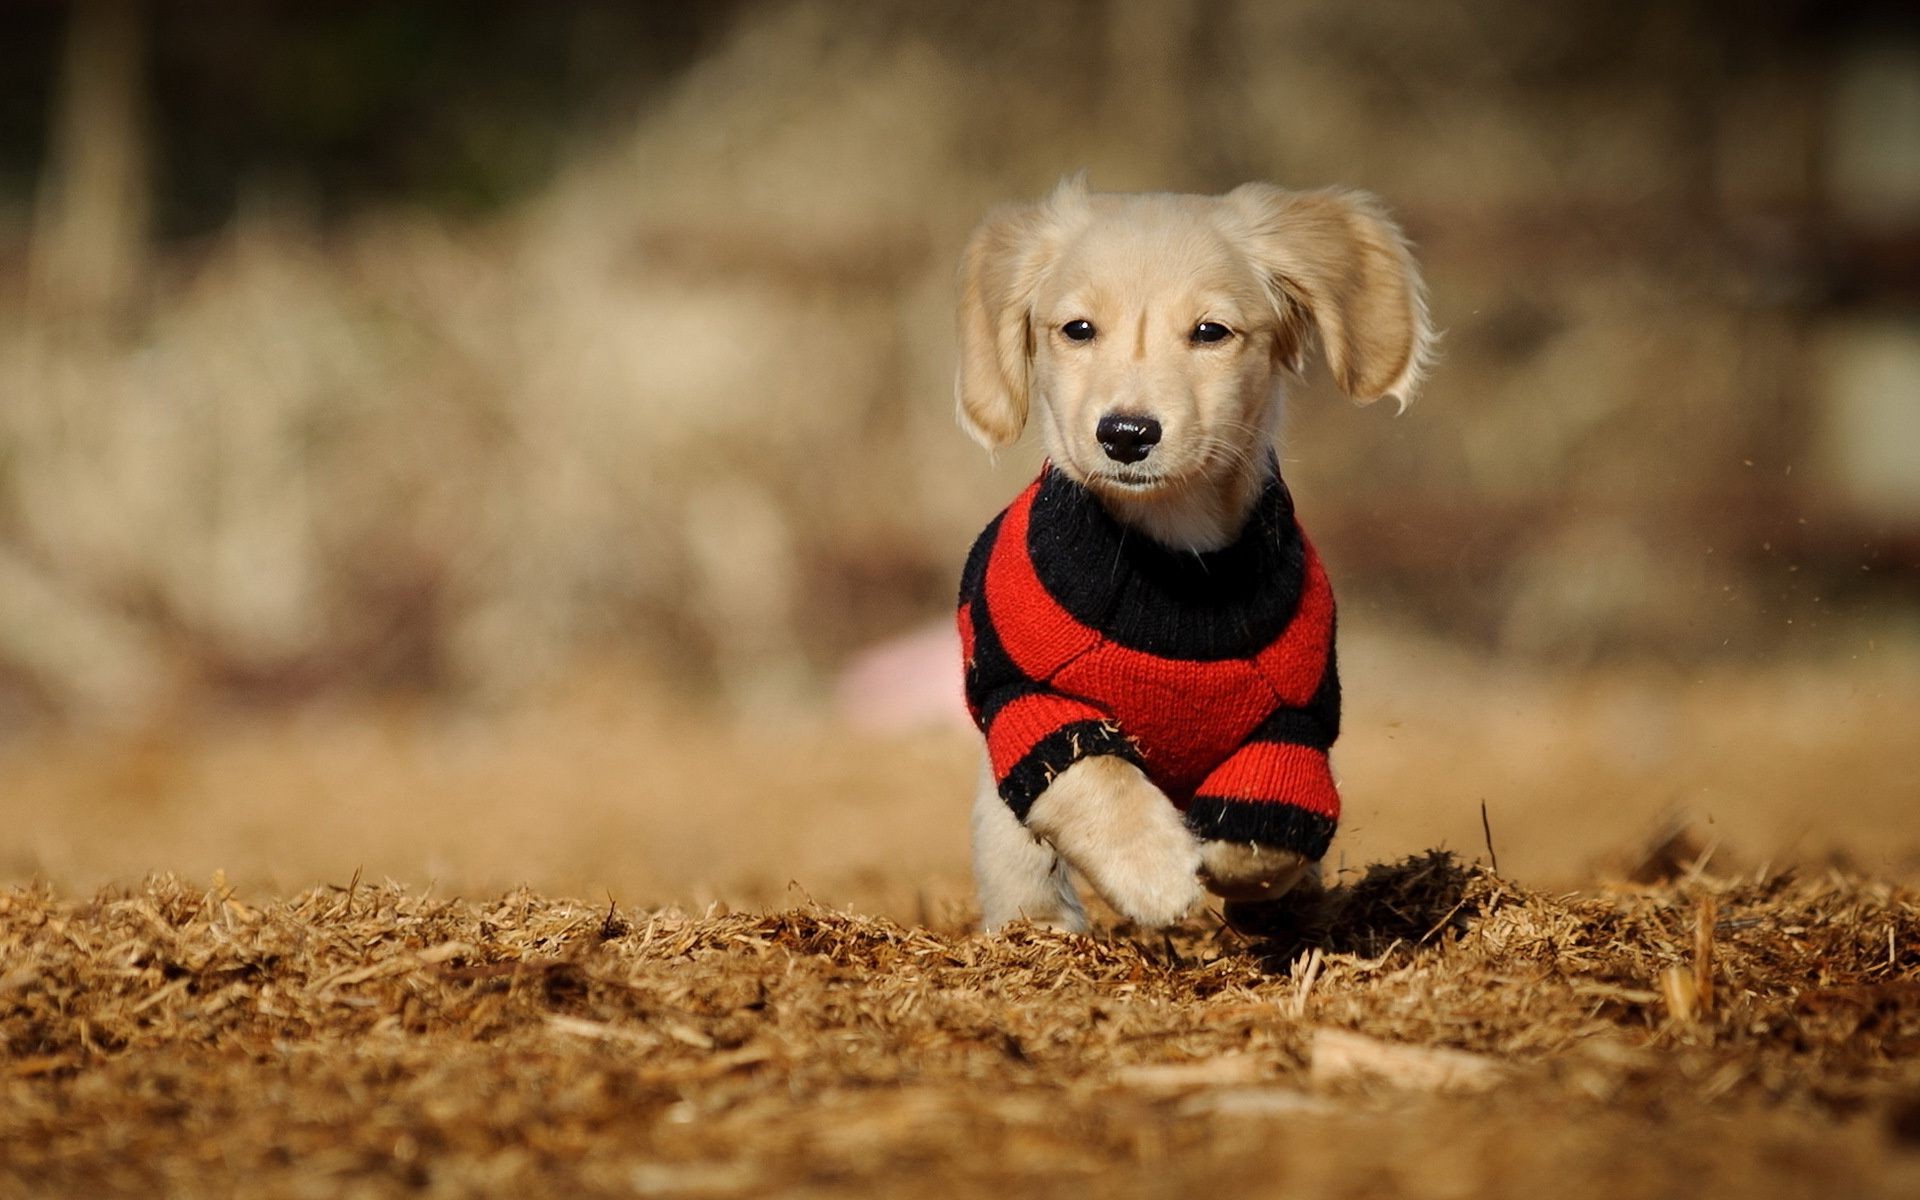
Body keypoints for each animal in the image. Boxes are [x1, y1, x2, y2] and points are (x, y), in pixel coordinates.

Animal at [956, 177, 1428, 933]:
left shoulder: (1294, 716)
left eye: (1211, 332)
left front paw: (1238, 864)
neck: (1171, 565)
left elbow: (1273, 823)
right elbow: (1098, 777)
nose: (1125, 434)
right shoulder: (1027, 698)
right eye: (1077, 329)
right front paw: (1152, 871)